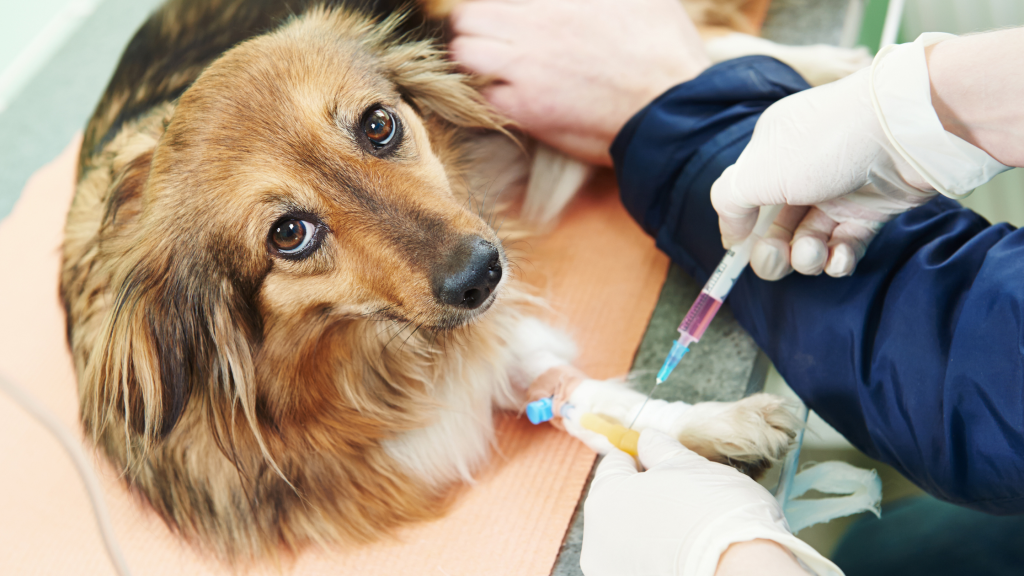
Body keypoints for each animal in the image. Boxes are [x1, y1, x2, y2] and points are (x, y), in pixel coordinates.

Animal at [58, 0, 856, 557]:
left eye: (378, 125)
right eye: (288, 235)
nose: (483, 275)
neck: (362, 357)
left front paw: (707, 421)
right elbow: (580, 404)